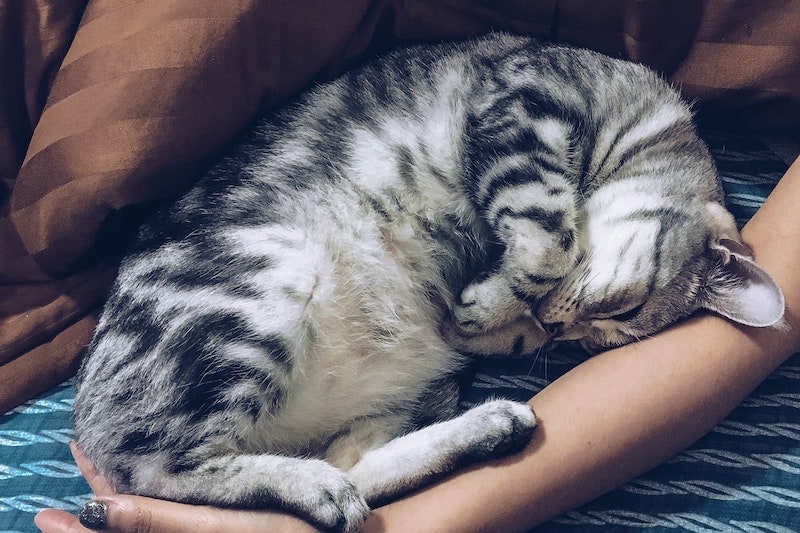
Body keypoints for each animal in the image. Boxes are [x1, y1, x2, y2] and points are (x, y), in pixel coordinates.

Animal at [72, 31, 784, 528]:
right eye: (624, 308)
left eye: (584, 345)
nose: (556, 327)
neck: (647, 116)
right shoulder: (526, 111)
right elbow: (548, 240)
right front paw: (497, 299)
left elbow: (518, 282)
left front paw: (488, 313)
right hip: (257, 295)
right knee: (155, 466)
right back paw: (317, 487)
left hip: (403, 387)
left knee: (353, 467)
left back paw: (486, 427)